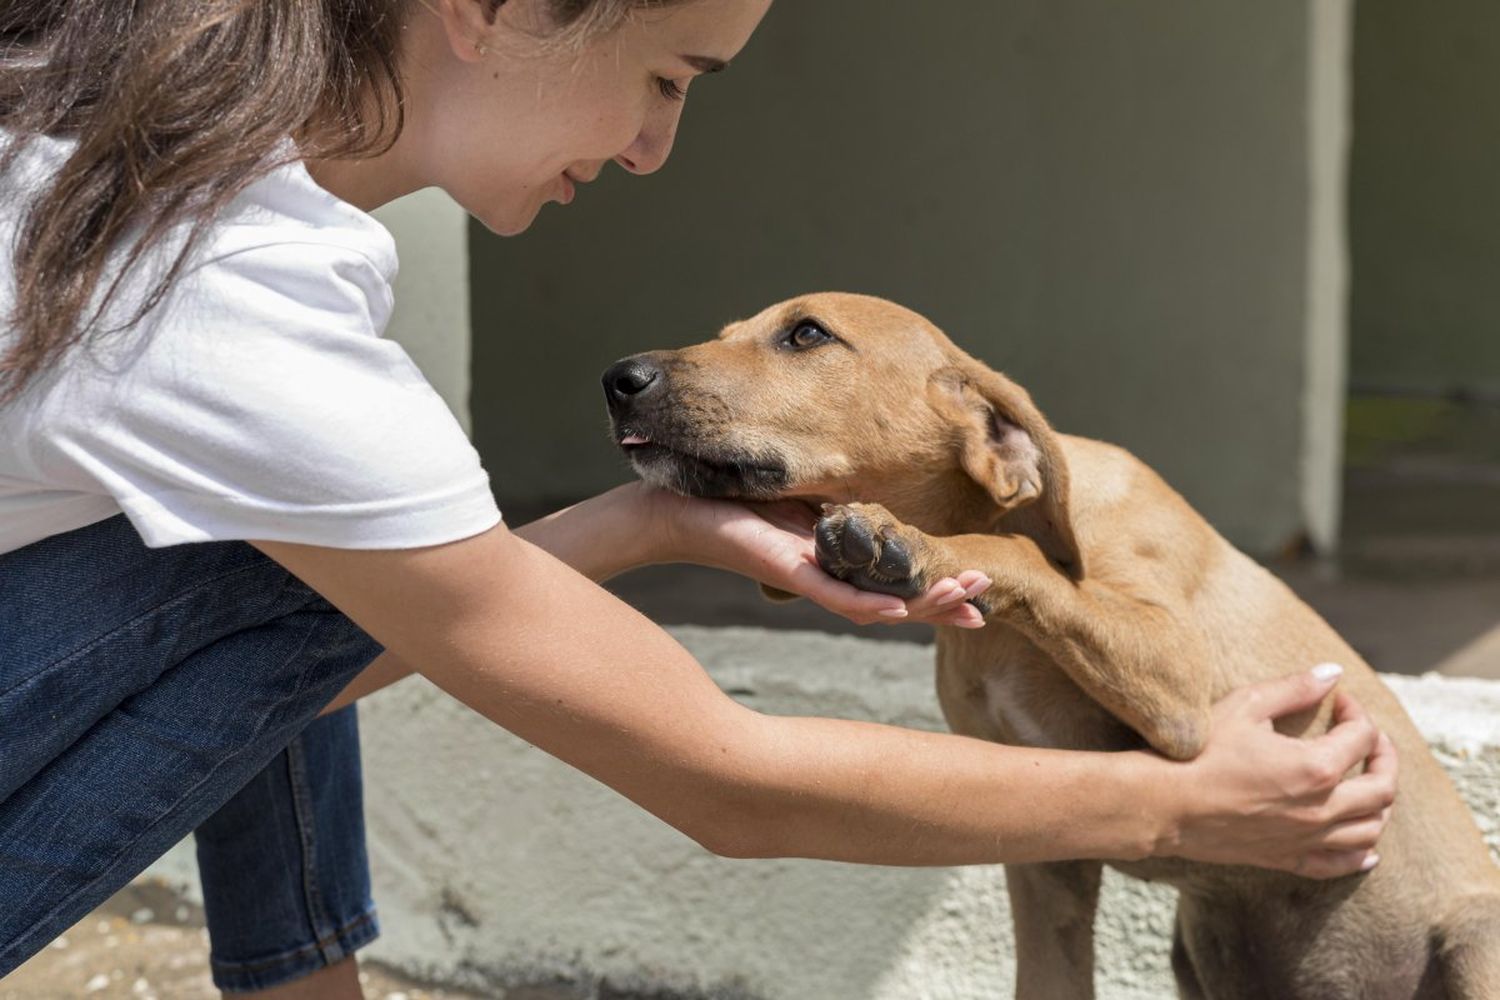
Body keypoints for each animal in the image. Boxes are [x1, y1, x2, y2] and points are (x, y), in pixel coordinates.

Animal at [600, 290, 1500, 1000]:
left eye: (807, 334)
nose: (618, 379)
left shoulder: (1182, 687)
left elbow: (1019, 558)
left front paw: (907, 546)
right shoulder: (1046, 852)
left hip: (1473, 943)